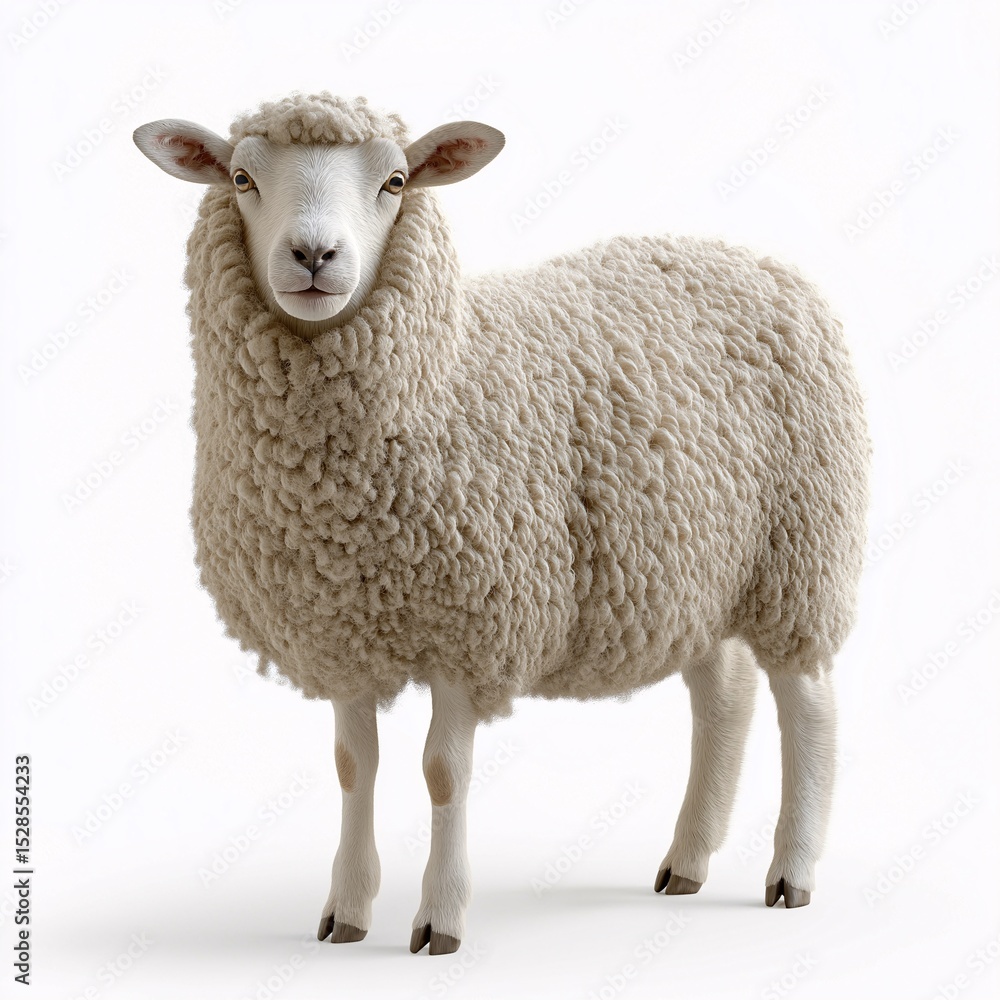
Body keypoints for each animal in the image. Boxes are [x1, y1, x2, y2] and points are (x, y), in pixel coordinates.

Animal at [134, 92, 870, 955]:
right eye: (242, 177)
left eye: (395, 181)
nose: (314, 254)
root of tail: (757, 260)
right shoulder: (342, 627)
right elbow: (355, 766)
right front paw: (346, 911)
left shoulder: (475, 622)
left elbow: (441, 773)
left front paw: (440, 921)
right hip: (694, 567)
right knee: (723, 696)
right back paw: (687, 860)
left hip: (800, 555)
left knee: (808, 704)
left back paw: (792, 872)